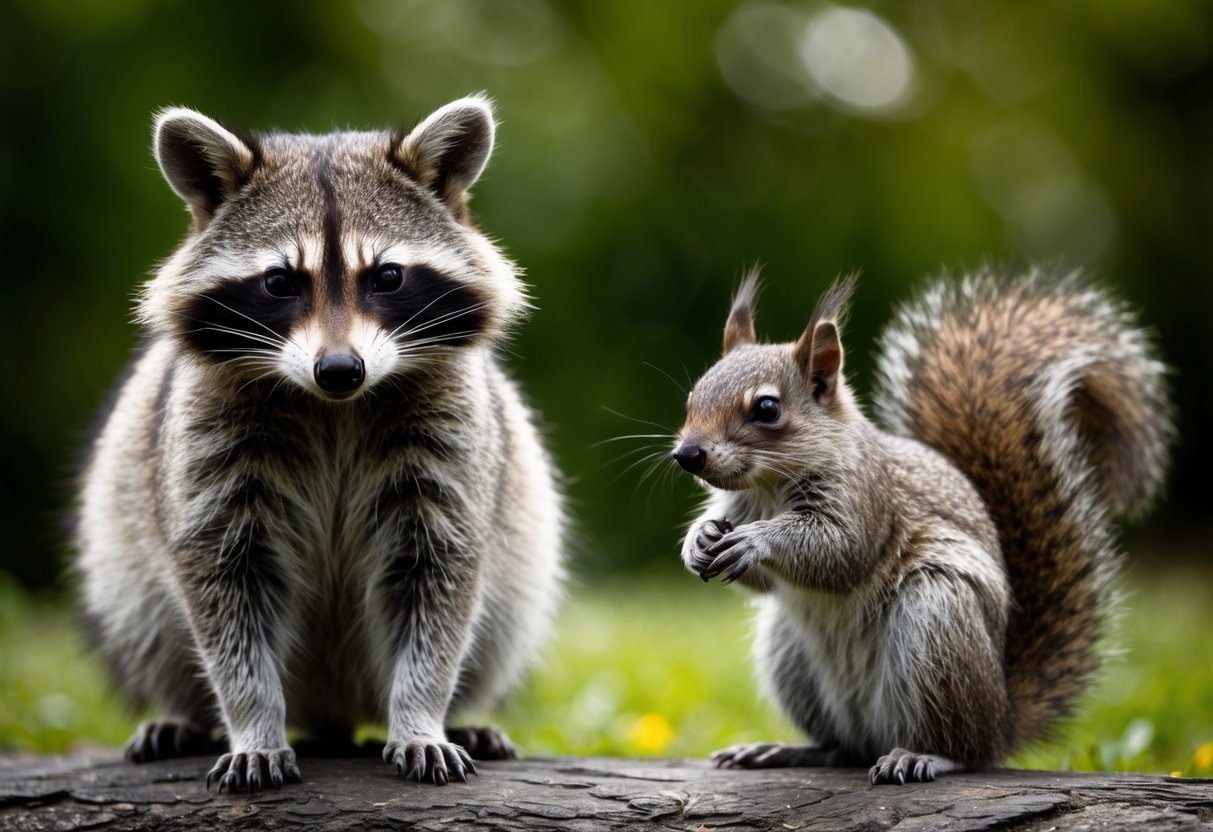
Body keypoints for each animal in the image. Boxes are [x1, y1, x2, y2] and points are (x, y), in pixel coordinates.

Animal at [74, 96, 564, 792]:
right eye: (281, 282)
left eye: (387, 277)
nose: (339, 370)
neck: (336, 408)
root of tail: (335, 713)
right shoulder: (207, 454)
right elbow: (225, 599)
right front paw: (253, 722)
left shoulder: (455, 448)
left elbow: (440, 589)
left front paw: (422, 714)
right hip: (121, 537)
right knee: (145, 622)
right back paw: (184, 715)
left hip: (518, 535)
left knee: (500, 623)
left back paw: (463, 715)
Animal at [673, 264, 1170, 785]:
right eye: (692, 396)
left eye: (767, 409)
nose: (687, 455)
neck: (769, 486)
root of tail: (1003, 717)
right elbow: (762, 580)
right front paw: (698, 539)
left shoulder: (866, 500)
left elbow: (839, 551)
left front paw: (757, 540)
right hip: (790, 653)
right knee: (842, 748)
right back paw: (785, 751)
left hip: (937, 622)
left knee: (965, 748)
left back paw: (923, 756)